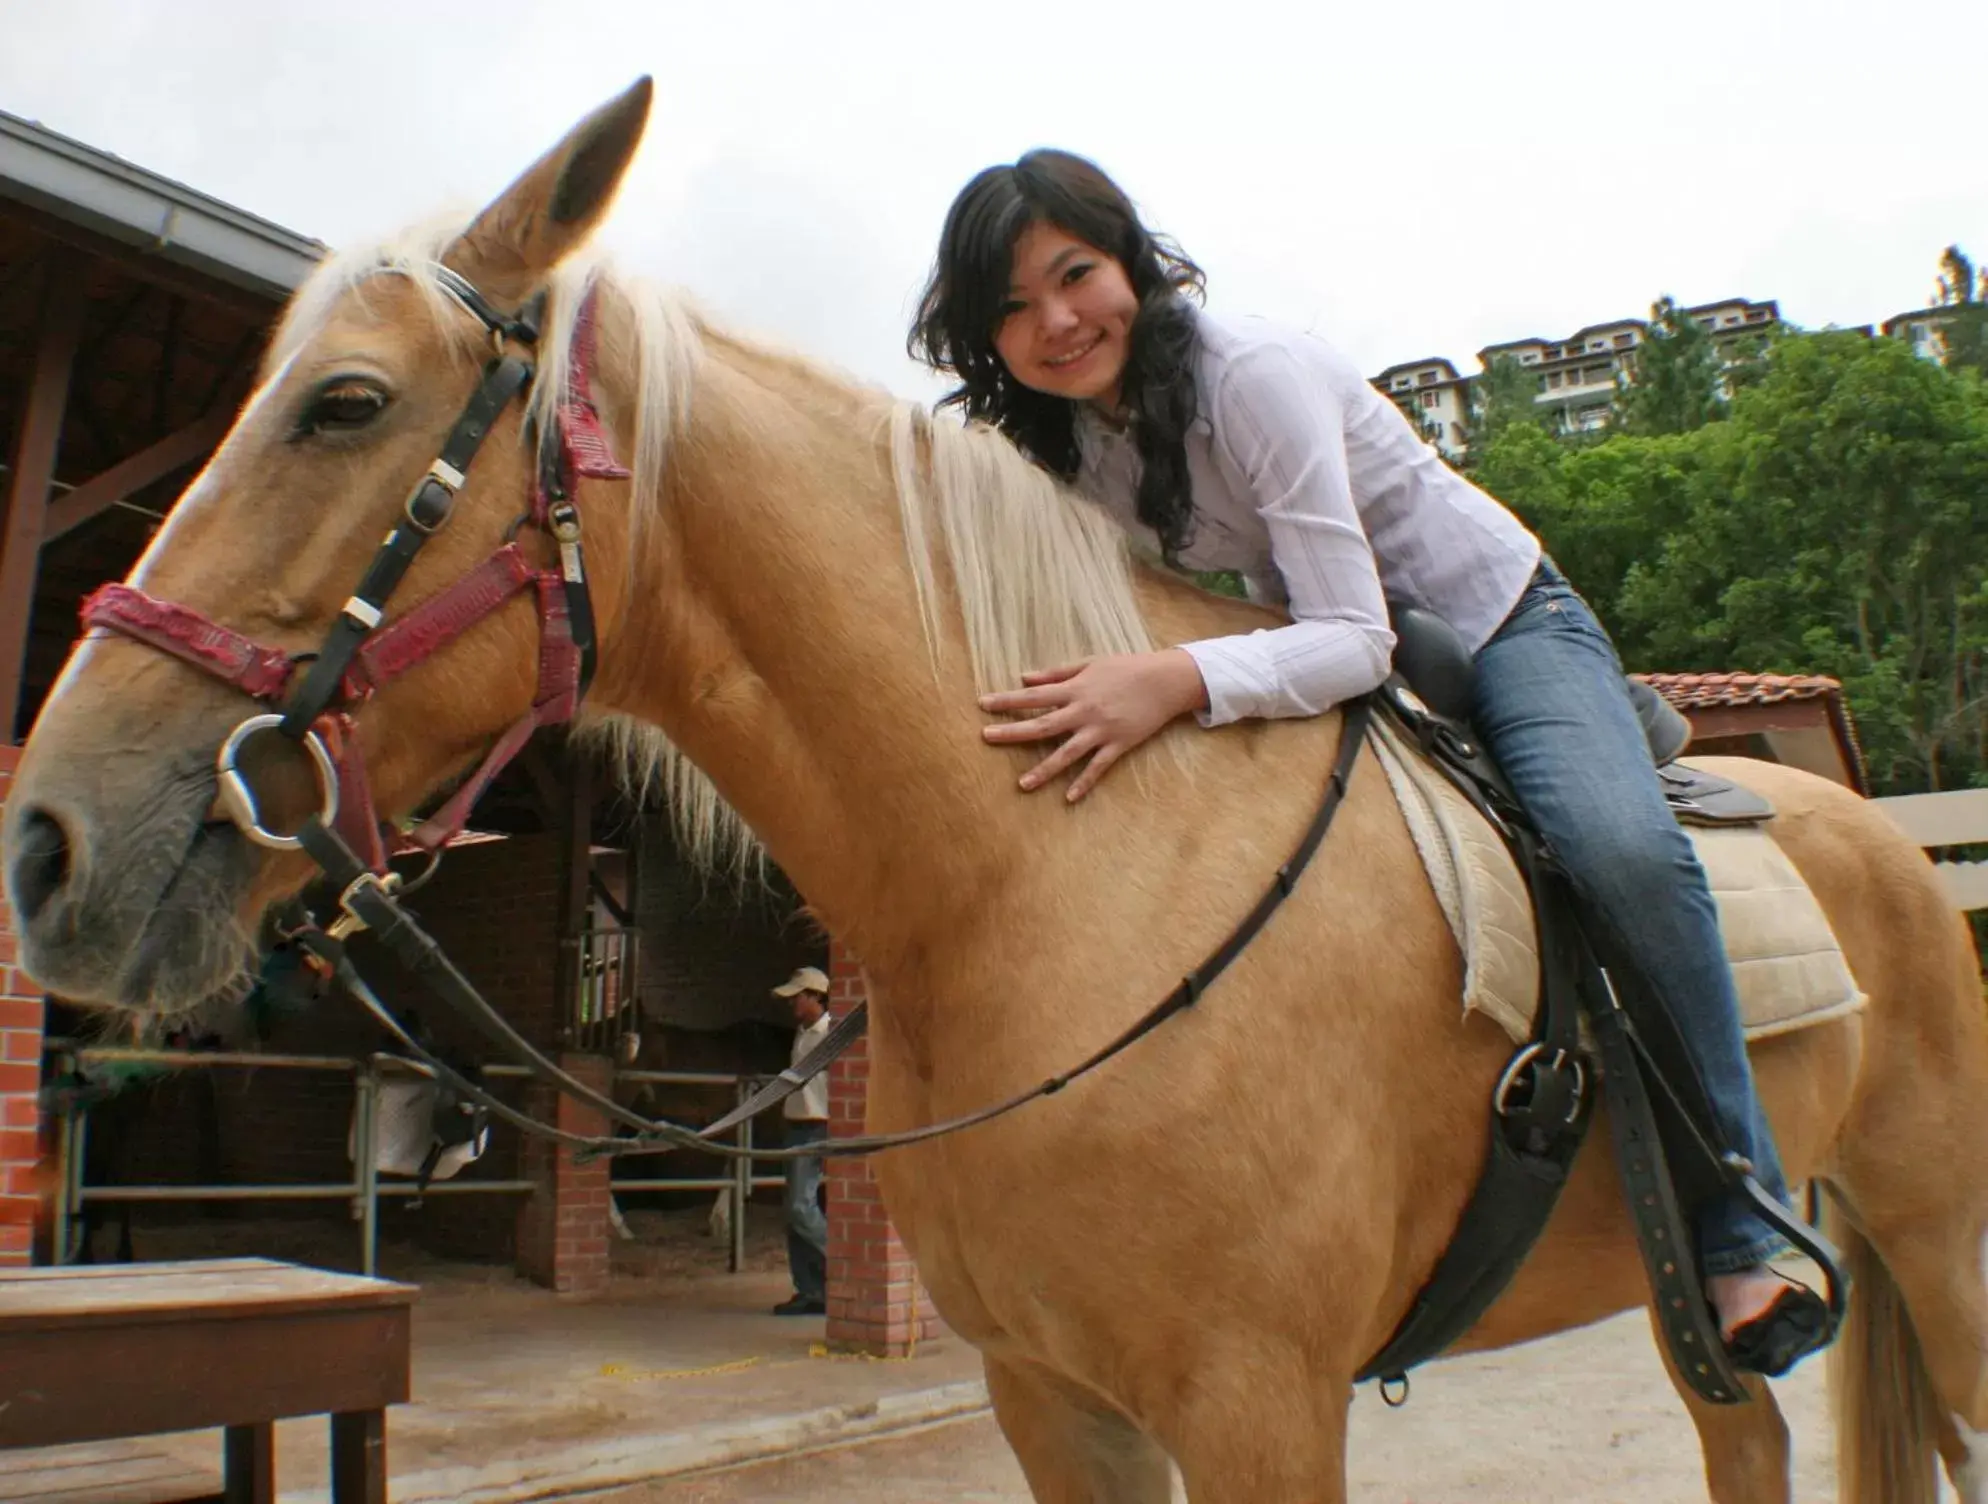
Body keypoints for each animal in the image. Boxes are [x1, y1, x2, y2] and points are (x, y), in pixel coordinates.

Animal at [3, 84, 1988, 1502]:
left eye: (340, 403)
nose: (47, 844)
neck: (1053, 877)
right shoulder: (1055, 1397)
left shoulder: (1259, 1405)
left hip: (1936, 1237)